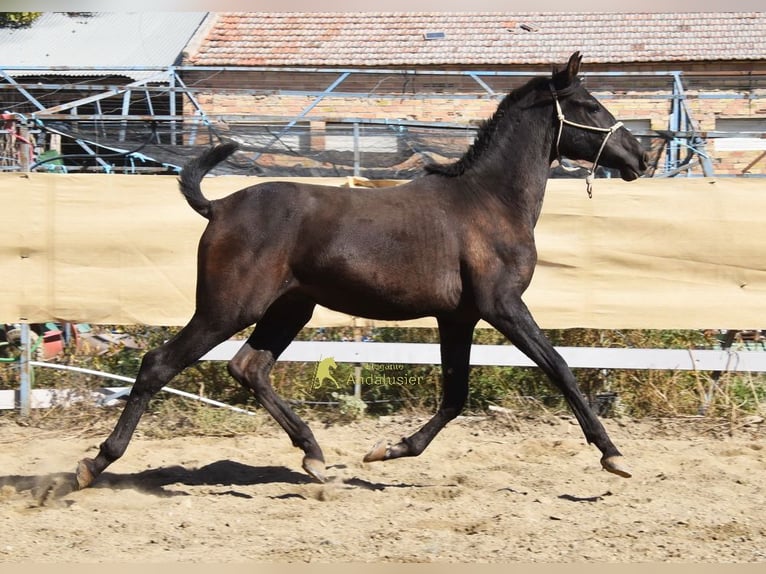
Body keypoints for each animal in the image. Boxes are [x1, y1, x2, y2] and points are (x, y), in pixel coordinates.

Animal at [75, 52, 647, 489]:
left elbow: (455, 395)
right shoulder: (501, 306)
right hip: (227, 307)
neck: (489, 201)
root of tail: (218, 207)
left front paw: (387, 449)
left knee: (248, 367)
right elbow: (560, 367)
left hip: (290, 307)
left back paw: (313, 455)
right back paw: (93, 464)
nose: (640, 156)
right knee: (159, 364)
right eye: (590, 106)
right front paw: (613, 455)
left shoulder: (458, 317)